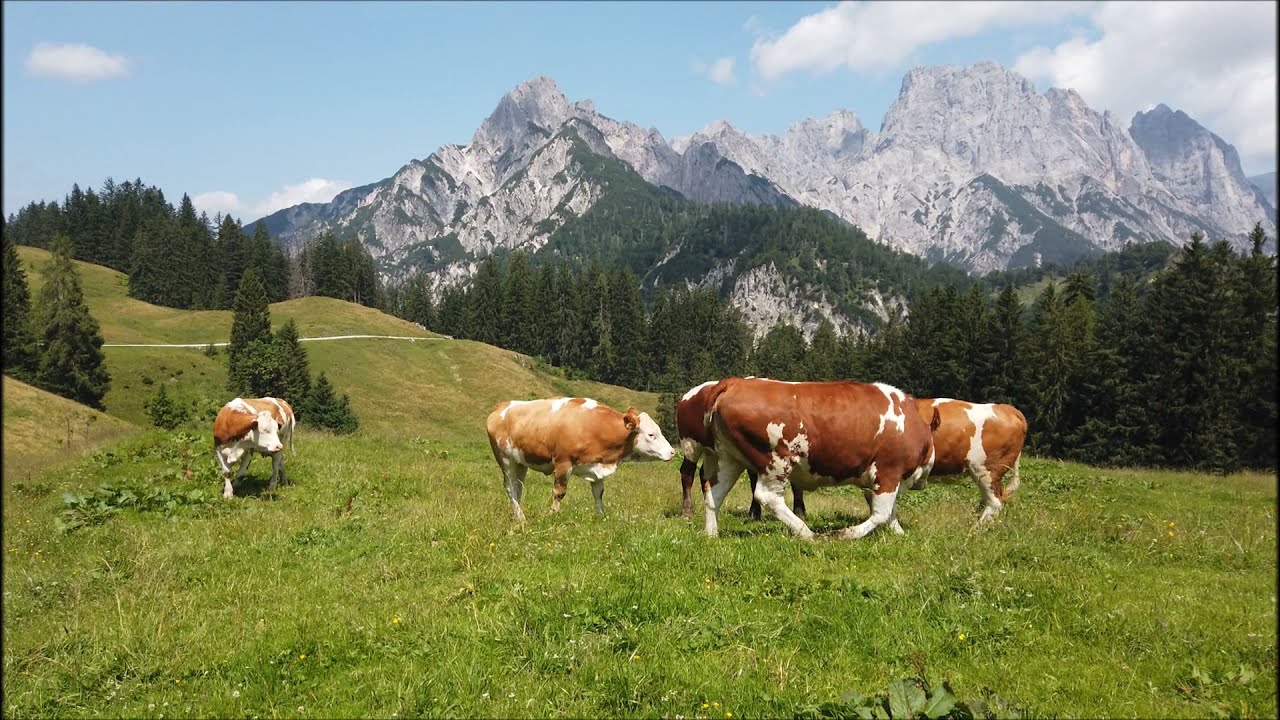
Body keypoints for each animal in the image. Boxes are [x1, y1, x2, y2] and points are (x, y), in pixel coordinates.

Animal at [486, 397, 675, 523]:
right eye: (651, 434)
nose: (672, 452)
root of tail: (502, 406)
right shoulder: (563, 463)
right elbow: (559, 492)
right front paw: (553, 515)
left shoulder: (597, 466)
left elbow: (598, 493)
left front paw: (601, 516)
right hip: (505, 461)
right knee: (510, 487)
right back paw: (521, 518)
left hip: (520, 462)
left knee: (518, 488)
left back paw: (518, 517)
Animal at [677, 379, 805, 520]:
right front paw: (754, 512)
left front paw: (799, 512)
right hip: (690, 443)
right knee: (687, 473)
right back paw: (687, 511)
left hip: (711, 451)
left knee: (704, 474)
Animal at [704, 378, 938, 540]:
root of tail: (736, 382)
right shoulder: (889, 471)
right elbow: (882, 512)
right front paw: (847, 534)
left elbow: (890, 511)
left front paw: (898, 532)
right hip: (776, 461)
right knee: (768, 497)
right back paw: (806, 533)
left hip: (729, 459)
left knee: (714, 493)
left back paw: (711, 534)